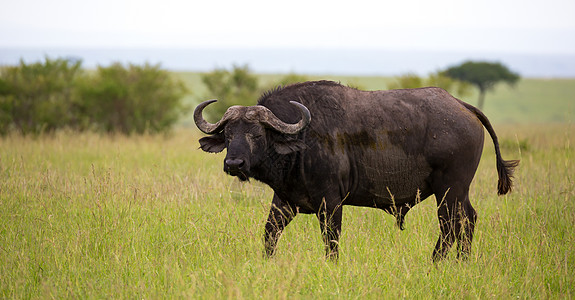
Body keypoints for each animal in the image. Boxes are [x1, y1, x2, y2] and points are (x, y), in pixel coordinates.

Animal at [196, 81, 520, 262]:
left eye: (257, 134)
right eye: (228, 135)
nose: (233, 164)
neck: (302, 140)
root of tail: (463, 106)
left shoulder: (330, 204)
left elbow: (331, 242)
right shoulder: (284, 201)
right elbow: (269, 235)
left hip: (449, 190)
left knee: (452, 224)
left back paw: (437, 262)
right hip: (458, 192)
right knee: (468, 220)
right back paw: (462, 262)